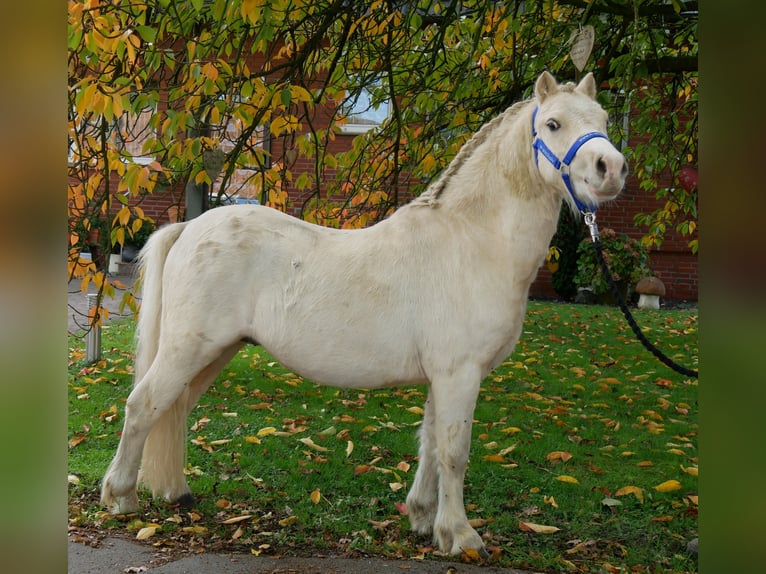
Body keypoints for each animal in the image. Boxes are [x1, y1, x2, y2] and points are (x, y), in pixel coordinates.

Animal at [103, 72, 632, 560]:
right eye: (553, 123)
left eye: (605, 119)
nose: (610, 168)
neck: (471, 242)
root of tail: (190, 226)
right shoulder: (460, 373)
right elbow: (454, 452)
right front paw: (461, 536)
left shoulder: (444, 376)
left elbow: (430, 444)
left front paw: (425, 520)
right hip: (188, 349)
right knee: (143, 405)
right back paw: (121, 497)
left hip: (215, 352)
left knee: (173, 411)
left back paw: (173, 492)